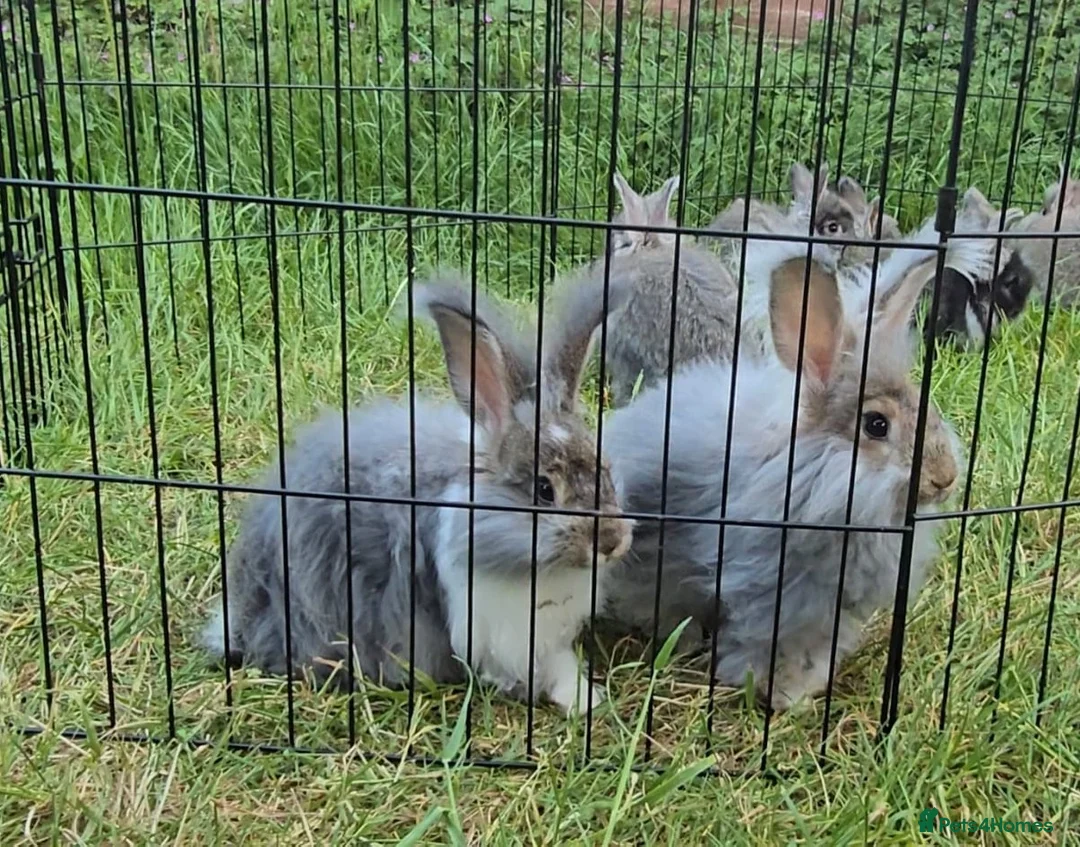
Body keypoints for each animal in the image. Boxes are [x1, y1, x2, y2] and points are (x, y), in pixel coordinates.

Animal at [201, 272, 635, 715]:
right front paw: (578, 700)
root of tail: (242, 614)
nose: (613, 543)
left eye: (606, 470)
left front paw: (587, 697)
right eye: (545, 489)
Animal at [601, 237, 962, 711]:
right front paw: (780, 695)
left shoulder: (830, 611)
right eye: (876, 425)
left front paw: (803, 692)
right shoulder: (775, 596)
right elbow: (768, 647)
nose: (946, 478)